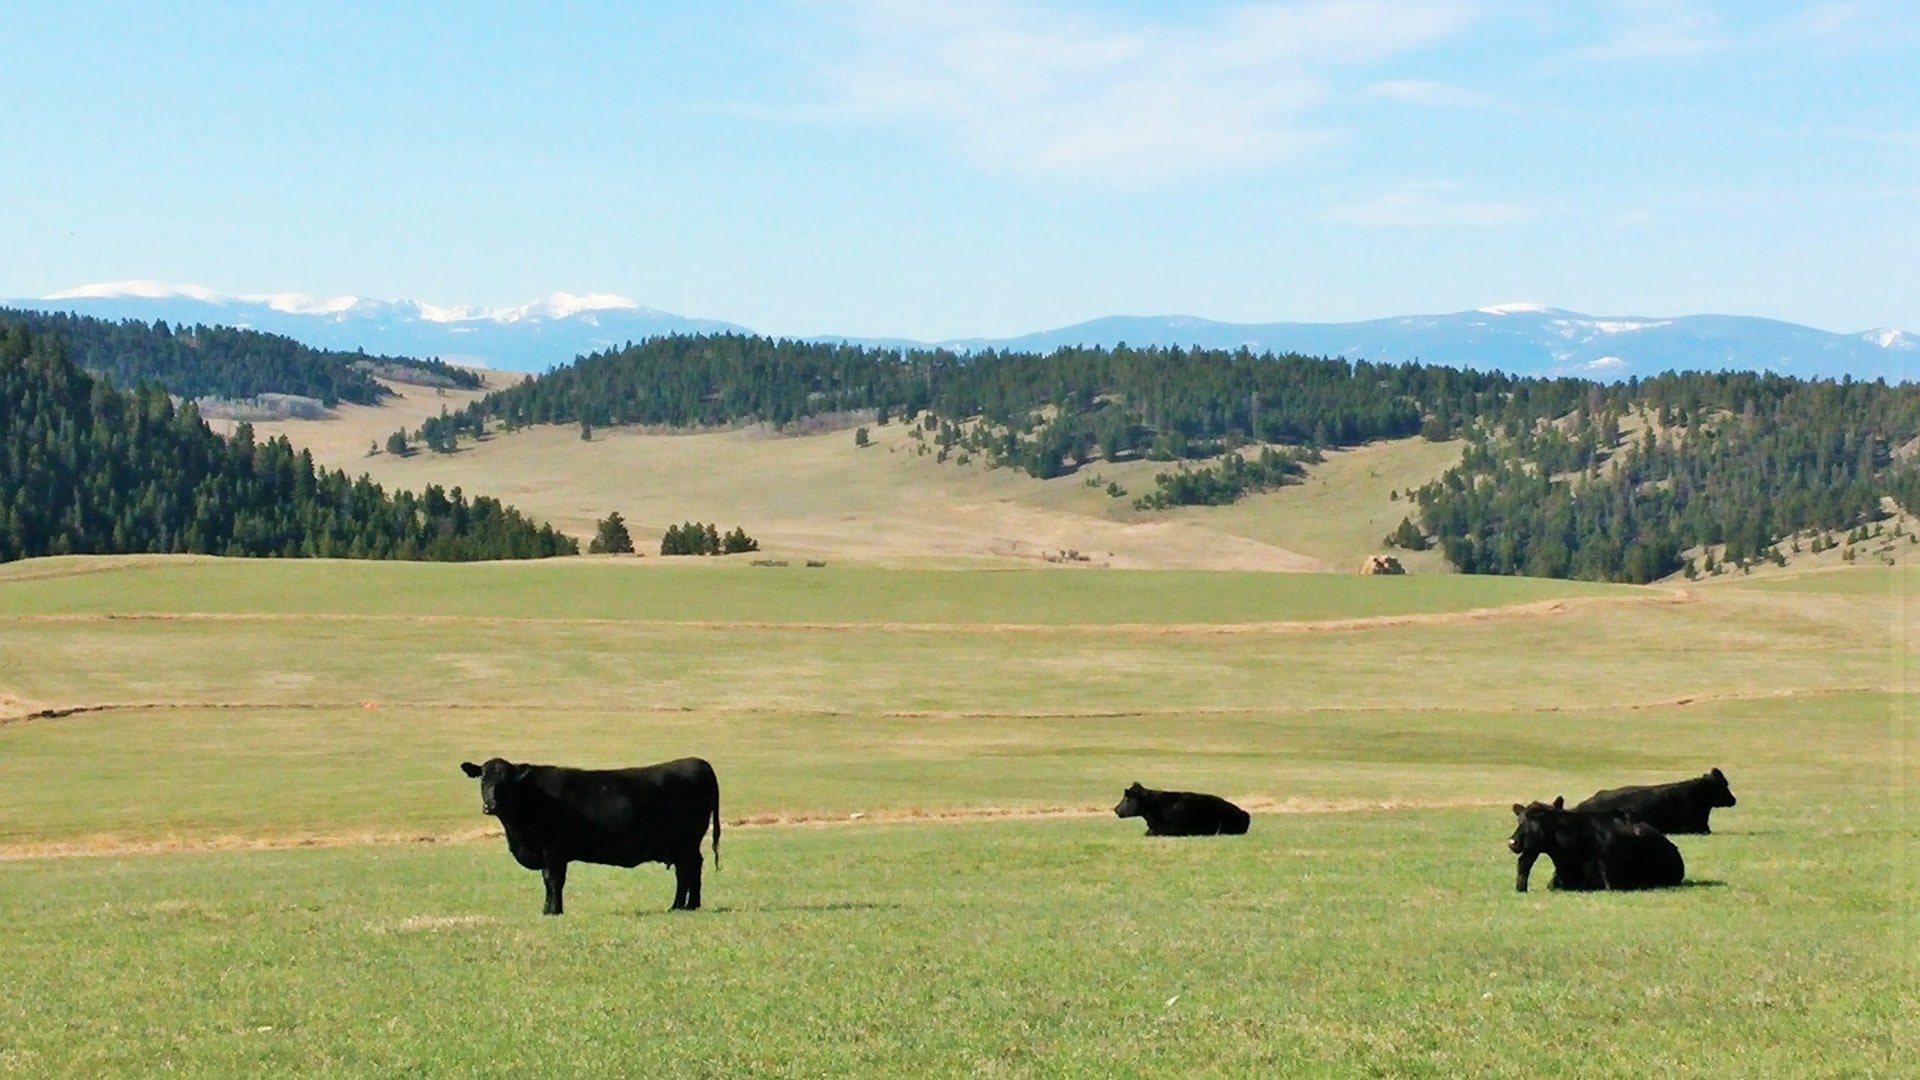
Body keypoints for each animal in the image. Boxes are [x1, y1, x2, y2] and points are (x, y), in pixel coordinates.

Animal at [459, 755, 720, 915]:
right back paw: (682, 905)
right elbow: (547, 881)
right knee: (686, 870)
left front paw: (554, 910)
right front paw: (546, 909)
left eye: (505, 782)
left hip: (686, 844)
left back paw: (686, 905)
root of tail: (698, 762)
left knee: (689, 869)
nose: (490, 805)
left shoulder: (553, 850)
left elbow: (553, 880)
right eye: (483, 780)